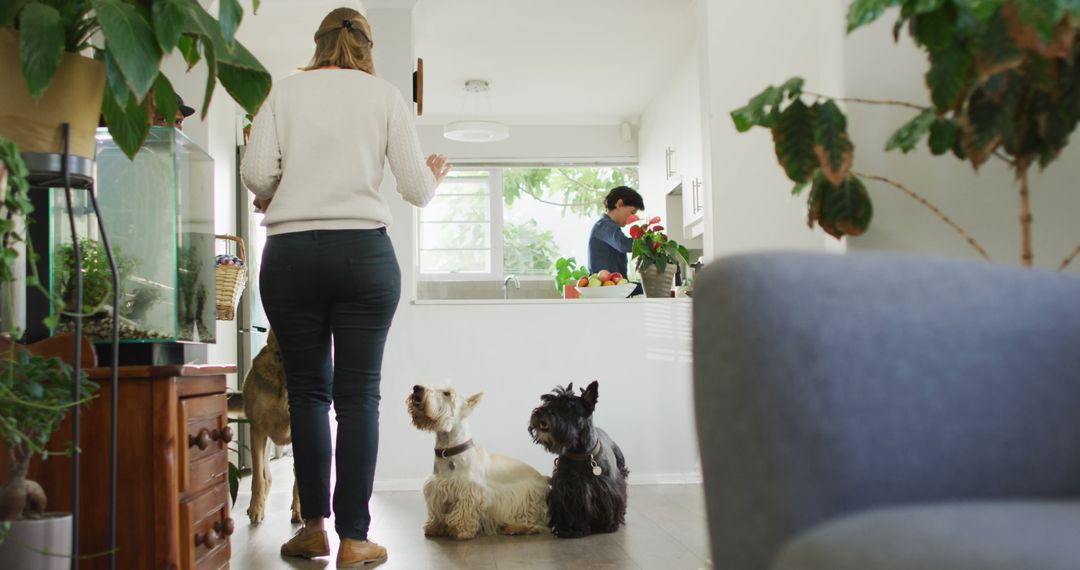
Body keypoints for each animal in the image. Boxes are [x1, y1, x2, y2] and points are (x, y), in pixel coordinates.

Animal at [408, 382, 552, 539]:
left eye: (447, 393)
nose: (417, 388)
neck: (449, 450)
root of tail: (544, 478)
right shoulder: (436, 488)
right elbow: (437, 510)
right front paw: (435, 527)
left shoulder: (470, 490)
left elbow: (464, 510)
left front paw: (460, 530)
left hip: (531, 501)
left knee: (537, 522)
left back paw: (516, 527)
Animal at [527, 380, 630, 537]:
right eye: (548, 401)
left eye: (569, 406)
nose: (538, 413)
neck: (580, 454)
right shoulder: (564, 488)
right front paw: (569, 528)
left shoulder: (606, 489)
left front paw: (605, 525)